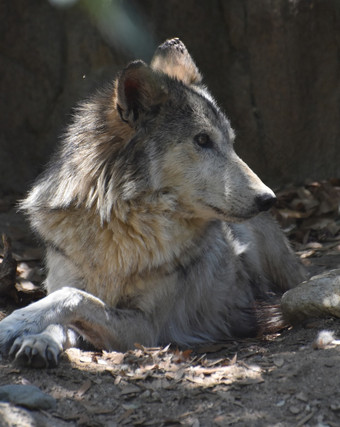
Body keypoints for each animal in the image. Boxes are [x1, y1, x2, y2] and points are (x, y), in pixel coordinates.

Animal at [0, 38, 306, 370]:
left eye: (231, 143)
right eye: (202, 140)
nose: (268, 199)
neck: (121, 227)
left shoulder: (146, 328)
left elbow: (72, 298)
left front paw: (14, 322)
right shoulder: (68, 281)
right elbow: (62, 310)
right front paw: (37, 338)